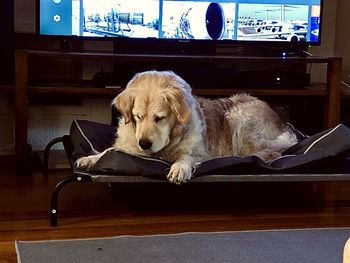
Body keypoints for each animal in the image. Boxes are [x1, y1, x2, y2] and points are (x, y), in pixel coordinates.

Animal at [76, 71, 298, 185]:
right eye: (138, 117)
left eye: (159, 118)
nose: (144, 143)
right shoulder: (131, 144)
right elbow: (110, 150)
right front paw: (90, 158)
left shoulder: (201, 152)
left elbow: (187, 157)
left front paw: (179, 168)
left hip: (239, 117)